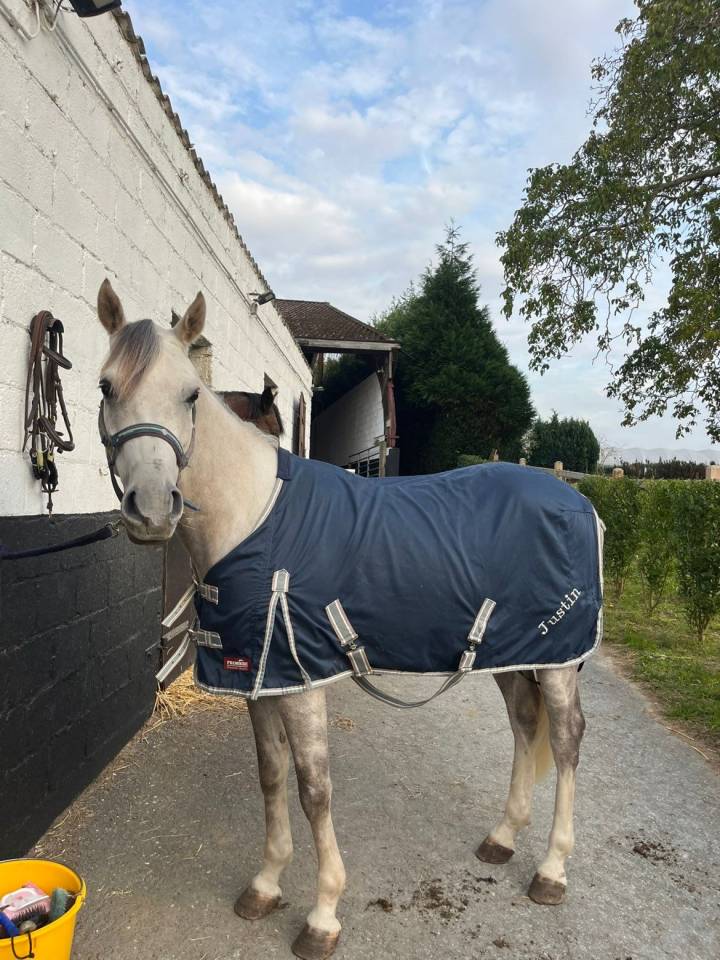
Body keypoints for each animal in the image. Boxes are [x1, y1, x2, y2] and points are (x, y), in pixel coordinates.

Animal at [95, 280, 600, 960]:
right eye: (106, 387)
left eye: (191, 393)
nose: (151, 510)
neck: (258, 516)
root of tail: (578, 499)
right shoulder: (260, 679)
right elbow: (271, 776)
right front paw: (265, 885)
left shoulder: (302, 680)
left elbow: (314, 788)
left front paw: (324, 913)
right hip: (514, 654)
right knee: (525, 726)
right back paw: (502, 839)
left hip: (559, 661)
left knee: (566, 741)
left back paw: (550, 869)